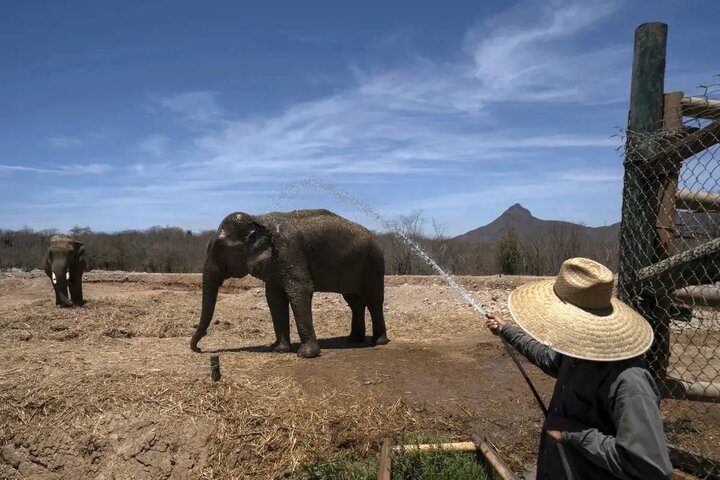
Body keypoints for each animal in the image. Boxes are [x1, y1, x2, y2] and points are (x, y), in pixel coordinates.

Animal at [190, 209, 389, 358]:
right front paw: (279, 350)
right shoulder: (274, 264)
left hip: (373, 264)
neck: (258, 219)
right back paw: (354, 340)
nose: (199, 349)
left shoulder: (290, 251)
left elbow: (300, 291)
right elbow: (274, 298)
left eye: (220, 249)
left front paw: (306, 354)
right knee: (354, 301)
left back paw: (378, 342)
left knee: (373, 300)